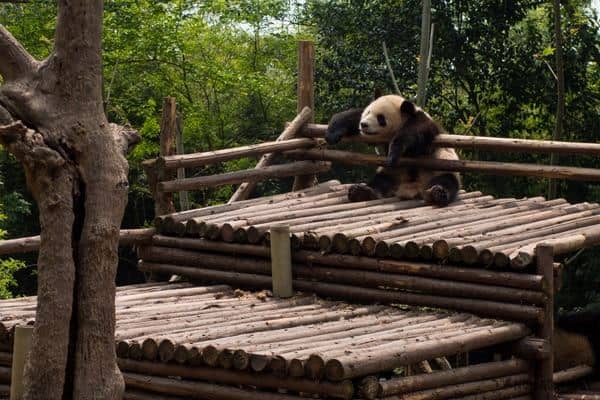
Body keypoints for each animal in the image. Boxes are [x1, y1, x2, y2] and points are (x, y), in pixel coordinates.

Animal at [328, 94, 460, 206]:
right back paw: (361, 192)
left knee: (446, 180)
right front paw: (333, 133)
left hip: (438, 167)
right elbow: (353, 116)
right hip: (394, 173)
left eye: (380, 118)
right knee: (381, 180)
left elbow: (412, 134)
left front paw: (394, 153)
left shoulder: (424, 123)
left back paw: (437, 193)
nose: (363, 124)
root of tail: (412, 188)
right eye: (368, 112)